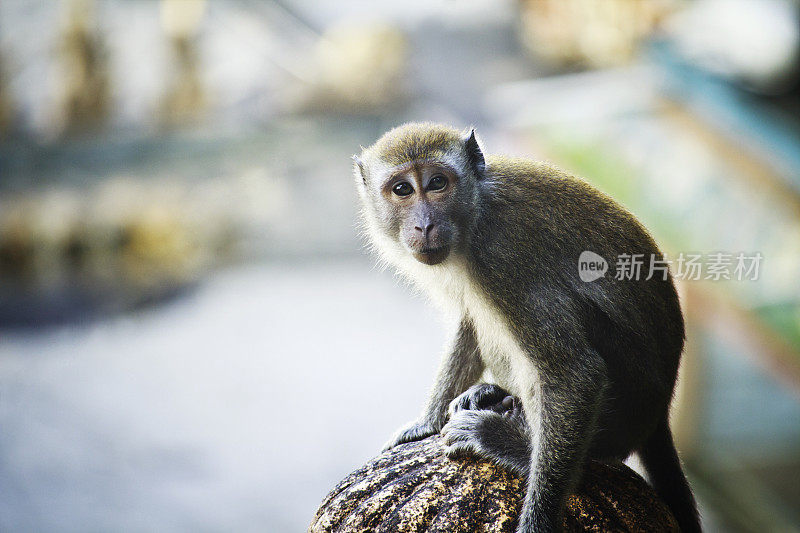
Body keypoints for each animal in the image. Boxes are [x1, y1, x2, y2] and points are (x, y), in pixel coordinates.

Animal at [354, 122, 696, 528]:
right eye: (402, 189)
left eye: (437, 183)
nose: (424, 224)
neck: (476, 213)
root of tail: (660, 413)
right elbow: (469, 320)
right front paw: (427, 422)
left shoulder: (503, 259)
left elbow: (573, 374)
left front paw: (538, 519)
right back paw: (493, 395)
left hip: (625, 410)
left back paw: (510, 444)